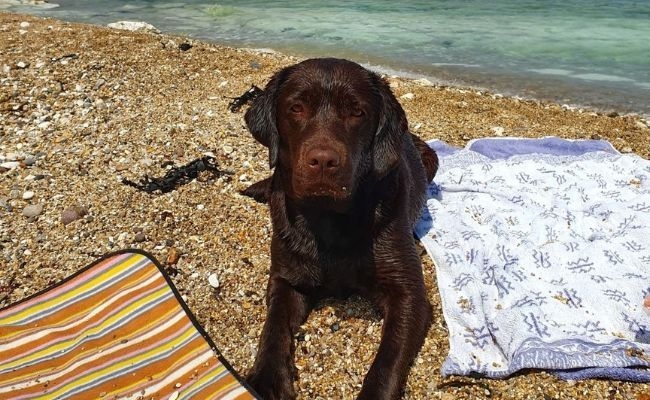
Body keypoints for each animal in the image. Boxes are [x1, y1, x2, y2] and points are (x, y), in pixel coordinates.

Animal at [240, 57, 438, 400]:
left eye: (357, 112)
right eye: (296, 108)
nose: (322, 161)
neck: (329, 220)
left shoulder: (409, 294)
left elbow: (388, 359)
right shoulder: (285, 278)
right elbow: (274, 325)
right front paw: (267, 378)